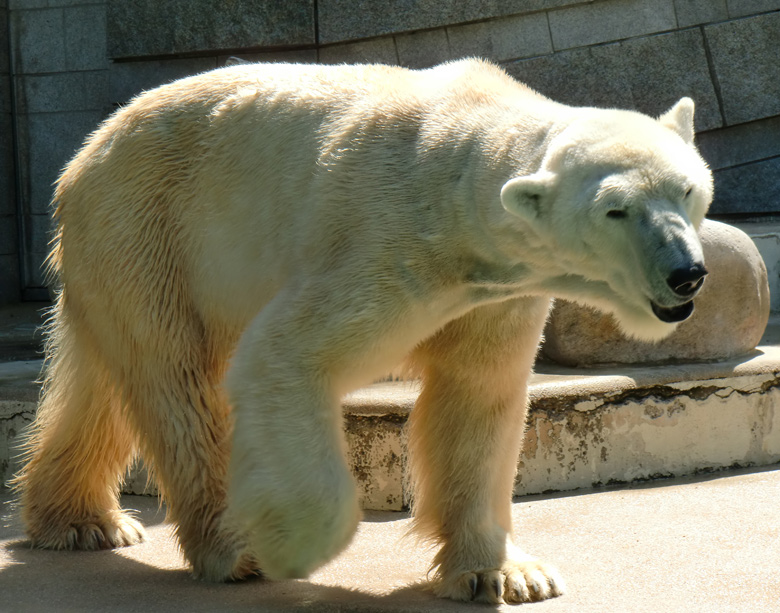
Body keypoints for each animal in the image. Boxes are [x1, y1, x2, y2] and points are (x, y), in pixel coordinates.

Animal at [12, 59, 708, 604]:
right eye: (616, 209)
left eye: (688, 189)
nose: (688, 273)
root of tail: (84, 156)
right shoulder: (387, 247)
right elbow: (284, 356)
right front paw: (291, 544)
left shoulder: (498, 295)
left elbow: (479, 396)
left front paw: (507, 574)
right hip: (149, 226)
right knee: (179, 386)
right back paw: (232, 549)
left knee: (105, 382)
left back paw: (81, 523)